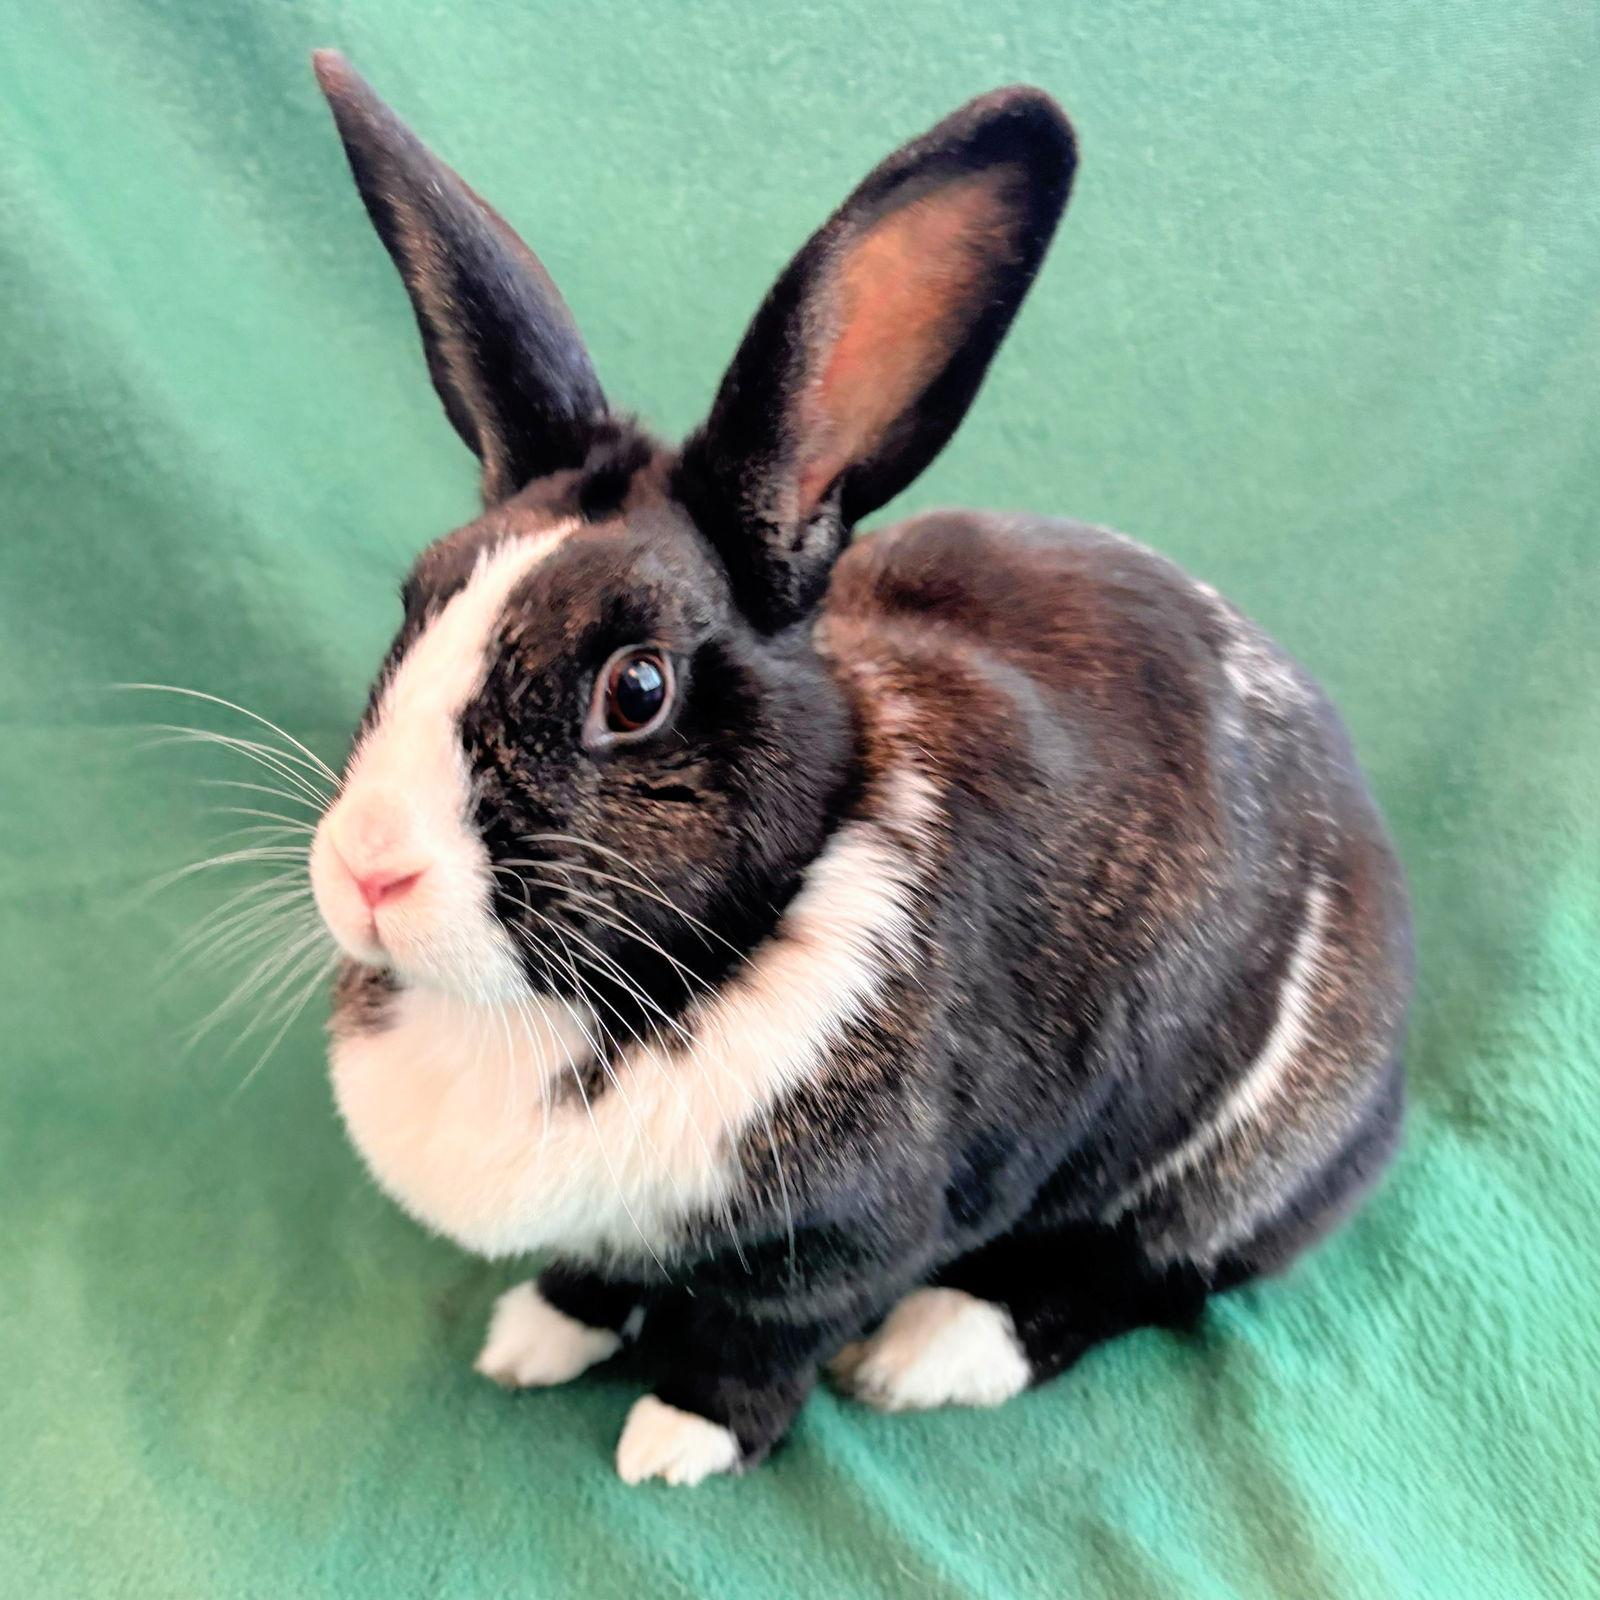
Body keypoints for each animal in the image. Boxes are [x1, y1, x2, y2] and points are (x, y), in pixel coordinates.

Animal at [304, 51, 1411, 1486]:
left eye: (637, 689)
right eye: (417, 602)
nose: (370, 872)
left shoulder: (848, 1235)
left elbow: (765, 1332)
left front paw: (681, 1437)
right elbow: (602, 1268)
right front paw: (539, 1333)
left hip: (1246, 1154)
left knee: (1157, 1269)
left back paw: (932, 1351)